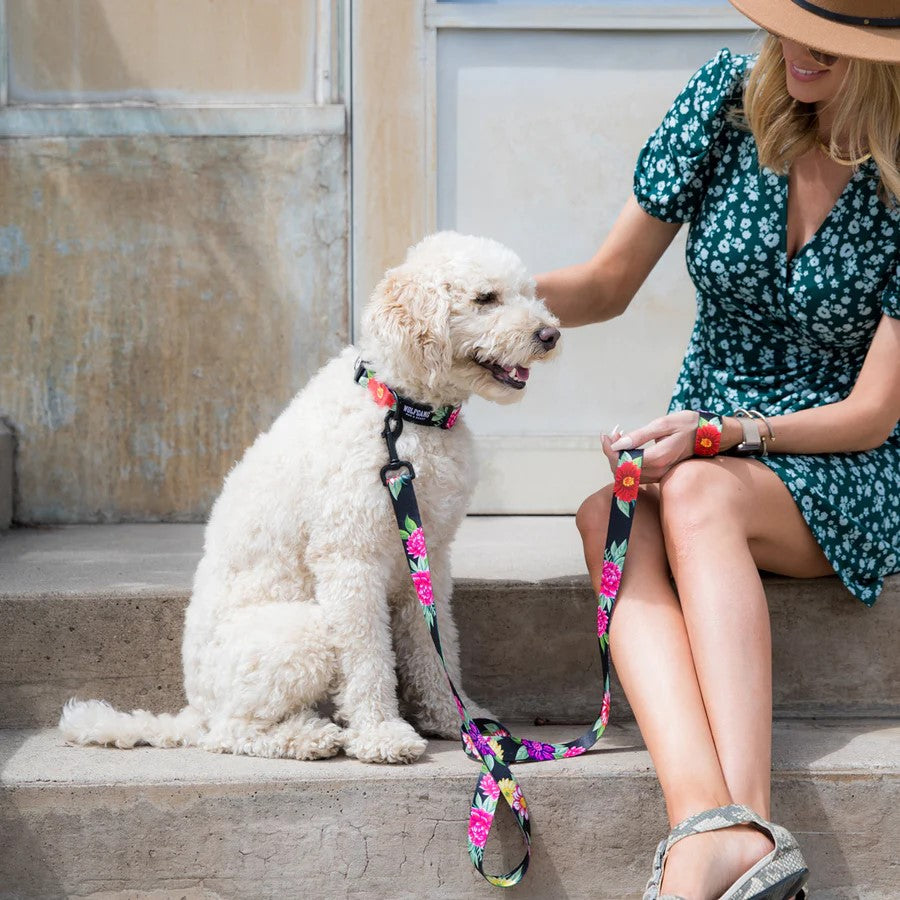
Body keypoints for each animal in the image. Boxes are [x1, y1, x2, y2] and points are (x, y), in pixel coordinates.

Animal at [59, 234, 560, 768]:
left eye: (529, 293)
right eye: (486, 298)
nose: (550, 334)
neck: (401, 411)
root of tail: (194, 708)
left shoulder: (428, 557)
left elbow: (433, 641)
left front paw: (455, 719)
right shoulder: (349, 558)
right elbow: (367, 657)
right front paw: (382, 734)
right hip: (304, 632)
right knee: (230, 731)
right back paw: (310, 738)